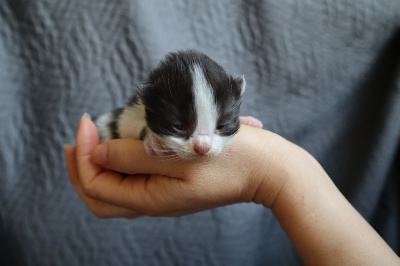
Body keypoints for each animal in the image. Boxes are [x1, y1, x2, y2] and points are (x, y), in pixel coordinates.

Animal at [94, 49, 262, 158]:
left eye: (221, 126)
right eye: (178, 126)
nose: (202, 148)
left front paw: (248, 120)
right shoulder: (133, 108)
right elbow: (124, 124)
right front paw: (153, 139)